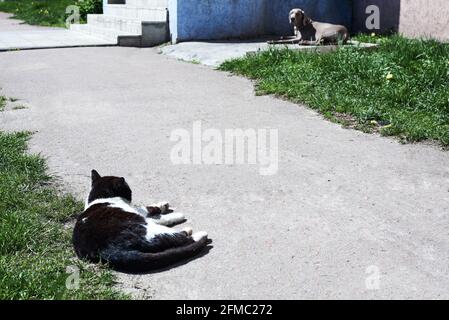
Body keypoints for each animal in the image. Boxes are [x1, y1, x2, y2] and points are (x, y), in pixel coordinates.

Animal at [72, 170, 209, 272]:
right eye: (129, 190)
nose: (131, 193)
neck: (99, 198)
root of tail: (104, 249)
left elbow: (151, 209)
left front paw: (163, 205)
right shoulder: (139, 213)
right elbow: (153, 212)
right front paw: (176, 215)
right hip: (152, 230)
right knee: (181, 239)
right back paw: (197, 233)